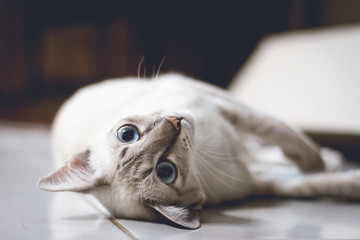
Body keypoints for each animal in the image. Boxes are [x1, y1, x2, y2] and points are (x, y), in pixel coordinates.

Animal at [37, 73, 360, 229]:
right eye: (165, 171)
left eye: (127, 134)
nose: (175, 122)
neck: (208, 151)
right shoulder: (265, 181)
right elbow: (320, 182)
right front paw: (336, 174)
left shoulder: (226, 106)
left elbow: (288, 136)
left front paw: (320, 161)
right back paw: (331, 160)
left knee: (268, 147)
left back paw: (332, 156)